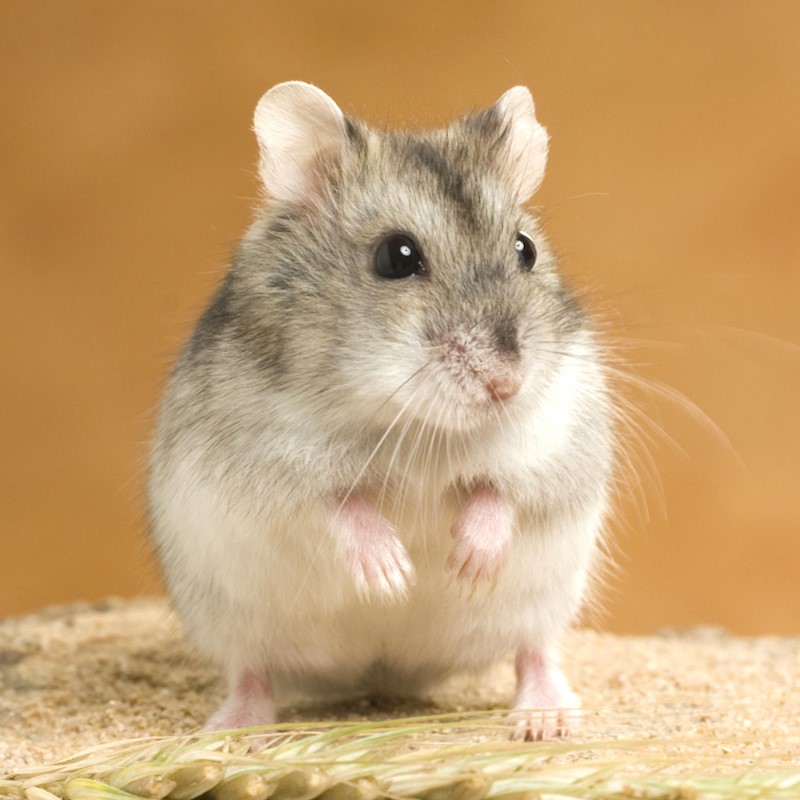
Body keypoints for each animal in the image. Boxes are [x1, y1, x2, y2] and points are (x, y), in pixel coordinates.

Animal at [148, 81, 614, 740]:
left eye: (525, 249)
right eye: (396, 257)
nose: (507, 385)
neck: (418, 423)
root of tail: (383, 672)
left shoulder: (557, 437)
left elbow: (500, 492)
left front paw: (466, 565)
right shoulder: (261, 465)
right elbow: (339, 504)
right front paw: (393, 575)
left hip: (546, 598)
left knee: (535, 651)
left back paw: (543, 720)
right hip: (230, 617)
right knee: (252, 672)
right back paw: (235, 731)